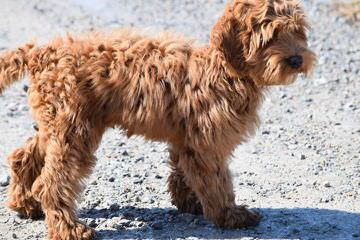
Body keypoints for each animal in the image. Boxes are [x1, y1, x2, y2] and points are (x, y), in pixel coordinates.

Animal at [0, 0, 316, 239]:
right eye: (271, 36)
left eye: (298, 31)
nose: (297, 60)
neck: (224, 70)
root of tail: (43, 53)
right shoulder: (207, 142)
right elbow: (216, 181)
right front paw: (229, 215)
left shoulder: (186, 137)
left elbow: (183, 171)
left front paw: (189, 202)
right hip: (74, 129)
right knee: (51, 182)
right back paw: (70, 229)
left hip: (57, 123)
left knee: (23, 155)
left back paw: (24, 203)